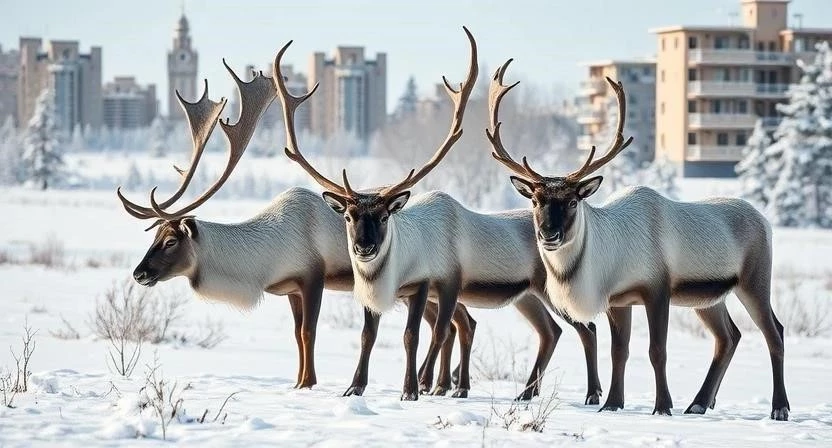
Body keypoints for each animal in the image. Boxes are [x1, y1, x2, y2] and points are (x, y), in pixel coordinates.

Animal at [277, 27, 603, 402]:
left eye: (384, 217)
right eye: (348, 217)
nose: (363, 248)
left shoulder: (437, 283)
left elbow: (420, 334)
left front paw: (412, 388)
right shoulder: (377, 295)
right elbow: (367, 335)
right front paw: (355, 387)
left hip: (552, 290)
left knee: (587, 326)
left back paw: (593, 393)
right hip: (528, 295)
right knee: (551, 331)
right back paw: (526, 392)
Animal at [486, 60, 790, 420]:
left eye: (573, 201)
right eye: (535, 200)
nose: (549, 234)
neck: (605, 262)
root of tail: (765, 222)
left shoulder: (657, 288)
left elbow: (657, 349)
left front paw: (663, 406)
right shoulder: (618, 300)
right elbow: (620, 350)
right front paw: (612, 403)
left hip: (755, 279)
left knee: (774, 332)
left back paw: (779, 408)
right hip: (708, 297)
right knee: (729, 336)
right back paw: (699, 403)